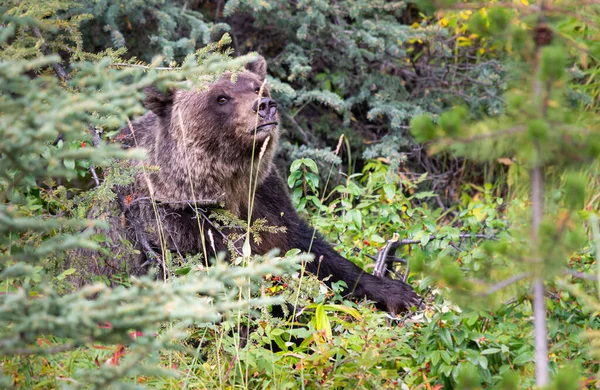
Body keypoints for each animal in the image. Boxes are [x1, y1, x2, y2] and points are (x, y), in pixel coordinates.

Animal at [85, 55, 422, 314]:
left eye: (256, 85)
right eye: (221, 97)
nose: (265, 105)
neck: (224, 186)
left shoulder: (264, 197)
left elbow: (309, 248)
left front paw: (397, 291)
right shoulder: (173, 223)